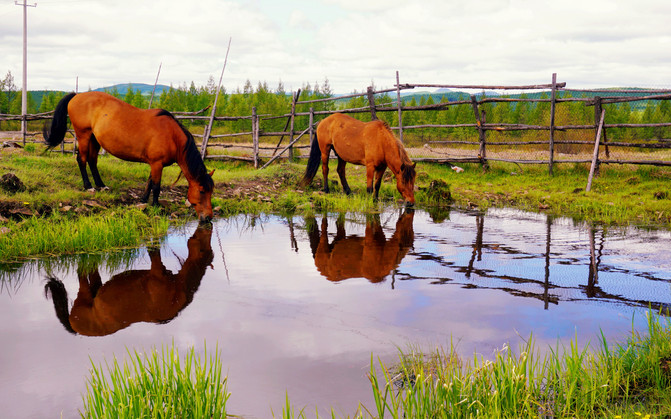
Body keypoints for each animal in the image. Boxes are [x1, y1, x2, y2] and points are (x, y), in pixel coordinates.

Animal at [43, 91, 215, 223]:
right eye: (201, 191)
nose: (208, 218)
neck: (171, 135)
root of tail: (77, 95)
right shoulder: (157, 164)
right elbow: (156, 186)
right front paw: (155, 205)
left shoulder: (154, 164)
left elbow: (149, 182)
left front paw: (143, 201)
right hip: (83, 135)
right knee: (82, 160)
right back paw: (89, 186)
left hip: (94, 139)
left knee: (92, 161)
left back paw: (101, 185)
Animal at [44, 226, 213, 338]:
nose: (207, 222)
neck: (177, 292)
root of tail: (76, 328)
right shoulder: (157, 270)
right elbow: (153, 250)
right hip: (83, 297)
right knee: (81, 274)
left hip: (95, 289)